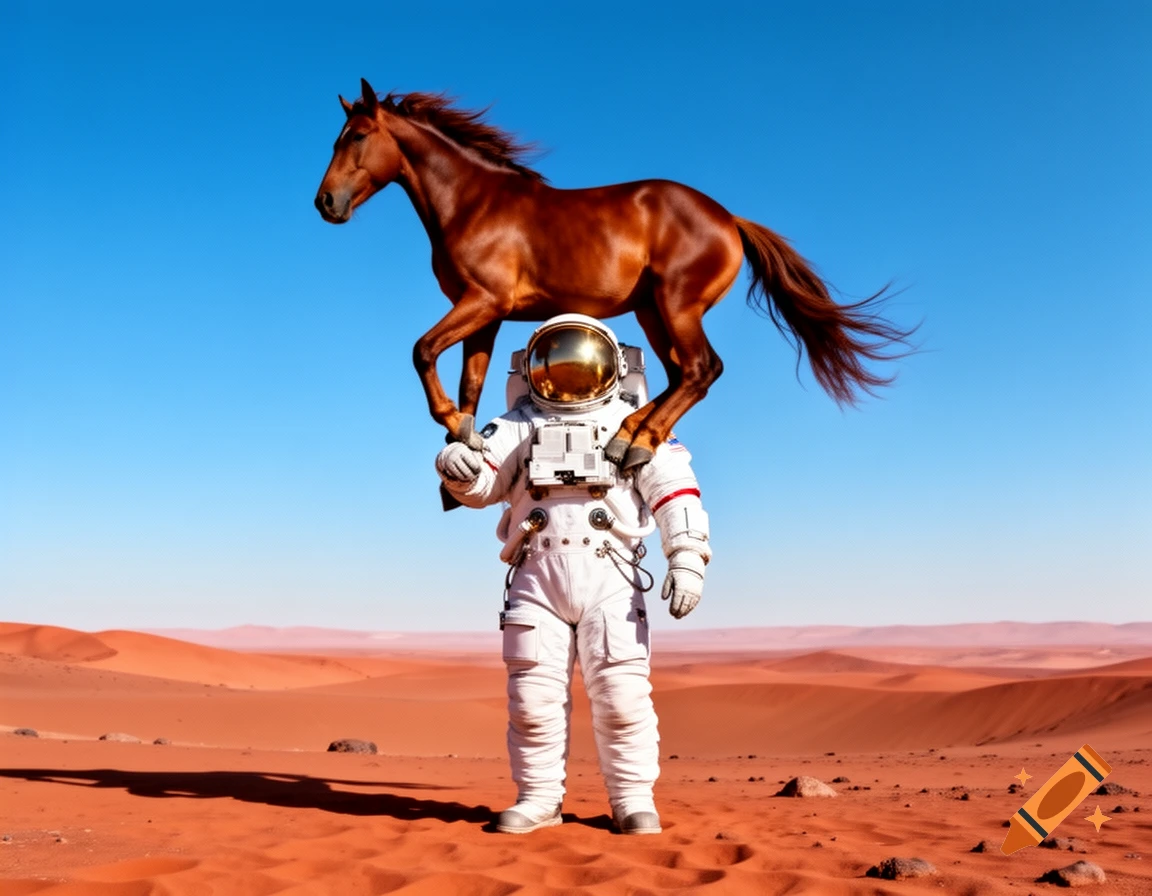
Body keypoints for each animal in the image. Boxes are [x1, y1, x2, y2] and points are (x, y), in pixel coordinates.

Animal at [314, 79, 914, 470]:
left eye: (358, 135)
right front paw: (465, 445)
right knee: (679, 375)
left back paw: (638, 444)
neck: (473, 202)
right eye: (338, 137)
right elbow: (470, 384)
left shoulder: (483, 302)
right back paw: (632, 434)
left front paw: (454, 427)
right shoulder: (484, 313)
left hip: (676, 304)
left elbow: (421, 350)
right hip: (651, 310)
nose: (326, 203)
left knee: (702, 369)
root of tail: (729, 220)